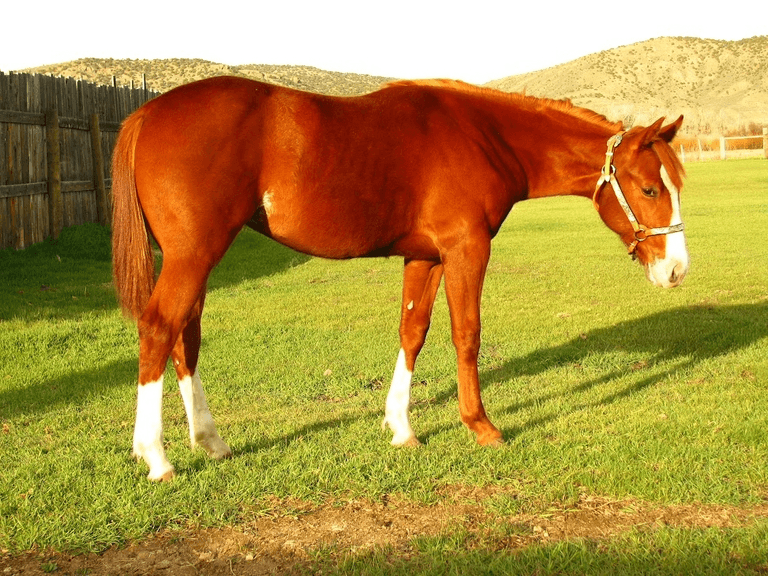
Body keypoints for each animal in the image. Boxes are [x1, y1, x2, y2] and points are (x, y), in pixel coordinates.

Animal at [111, 76, 688, 481]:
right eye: (649, 189)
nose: (677, 270)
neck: (484, 135)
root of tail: (146, 113)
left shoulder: (425, 258)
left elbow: (414, 333)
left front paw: (402, 428)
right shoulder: (466, 250)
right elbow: (466, 335)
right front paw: (481, 427)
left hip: (196, 259)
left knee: (185, 336)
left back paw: (210, 441)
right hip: (193, 255)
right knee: (159, 328)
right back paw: (156, 457)